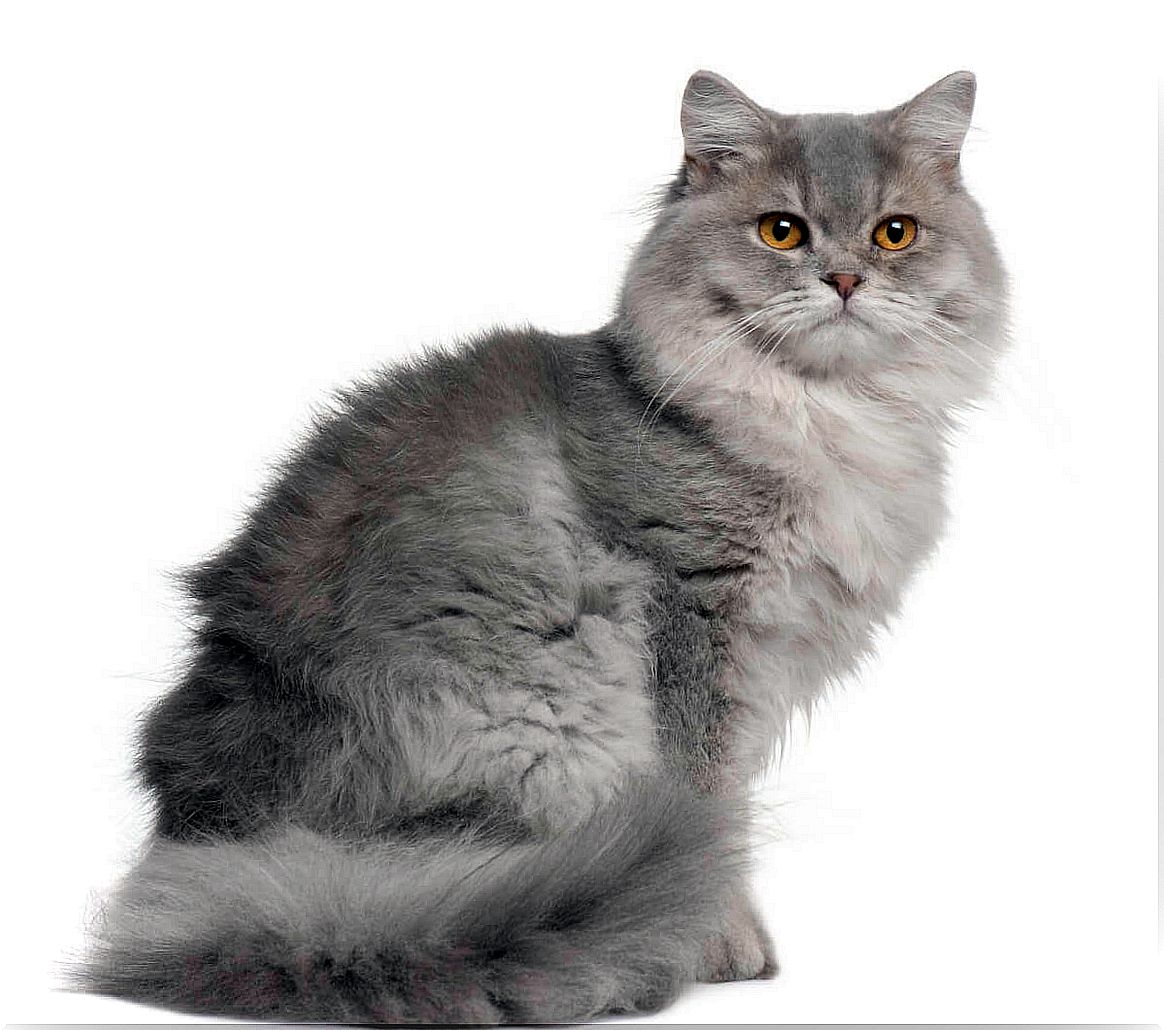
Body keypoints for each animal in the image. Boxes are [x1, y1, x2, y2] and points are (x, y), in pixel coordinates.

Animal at [79, 70, 1010, 1019]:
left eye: (895, 232)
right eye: (781, 230)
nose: (846, 279)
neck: (820, 418)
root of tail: (223, 844)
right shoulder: (695, 619)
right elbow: (710, 802)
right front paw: (720, 941)